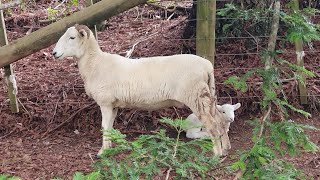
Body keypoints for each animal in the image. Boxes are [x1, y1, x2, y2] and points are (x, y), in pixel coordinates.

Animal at [52, 23, 228, 156]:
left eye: (72, 37)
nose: (54, 53)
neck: (95, 63)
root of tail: (208, 66)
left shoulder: (105, 102)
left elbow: (104, 127)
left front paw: (102, 152)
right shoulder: (113, 104)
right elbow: (110, 126)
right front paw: (109, 148)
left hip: (196, 96)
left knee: (212, 124)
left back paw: (217, 154)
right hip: (208, 96)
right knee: (220, 120)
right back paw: (226, 148)